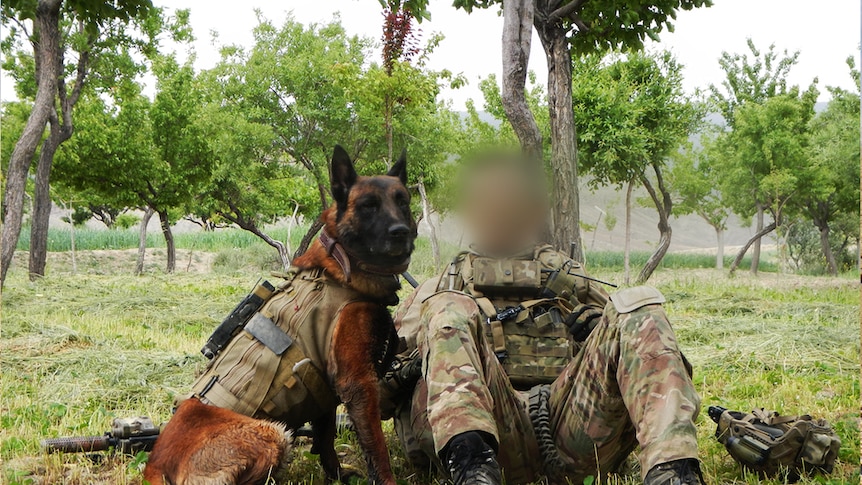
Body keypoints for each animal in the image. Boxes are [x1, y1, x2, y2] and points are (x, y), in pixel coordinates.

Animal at [146, 146, 418, 482]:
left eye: (403, 201)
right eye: (368, 205)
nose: (401, 232)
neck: (342, 265)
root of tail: (155, 462)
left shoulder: (324, 390)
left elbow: (326, 438)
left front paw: (335, 476)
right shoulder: (359, 386)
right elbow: (376, 450)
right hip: (273, 433)